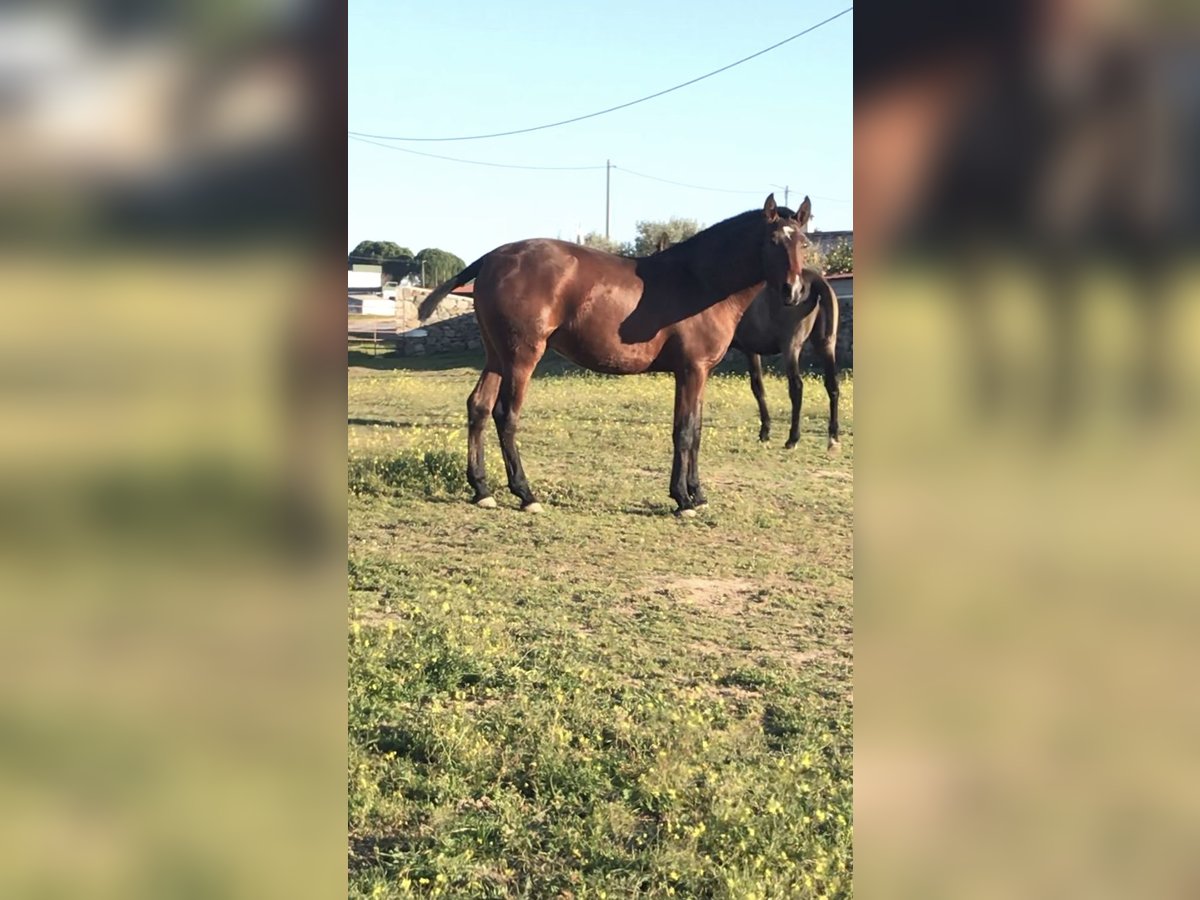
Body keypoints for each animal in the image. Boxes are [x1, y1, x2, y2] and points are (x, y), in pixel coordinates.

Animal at [415, 194, 816, 518]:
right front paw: (682, 500)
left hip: (497, 356)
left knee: (479, 407)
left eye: (804, 242)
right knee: (505, 415)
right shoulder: (691, 370)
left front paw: (697, 494)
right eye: (773, 241)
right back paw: (526, 493)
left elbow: (696, 430)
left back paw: (481, 489)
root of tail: (492, 257)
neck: (700, 281)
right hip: (522, 357)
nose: (793, 291)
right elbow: (684, 430)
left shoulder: (699, 373)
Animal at [724, 267, 840, 451]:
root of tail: (814, 278)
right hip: (826, 344)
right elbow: (758, 388)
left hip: (790, 347)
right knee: (832, 385)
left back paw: (793, 438)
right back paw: (833, 436)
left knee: (797, 387)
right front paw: (765, 431)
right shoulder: (751, 351)